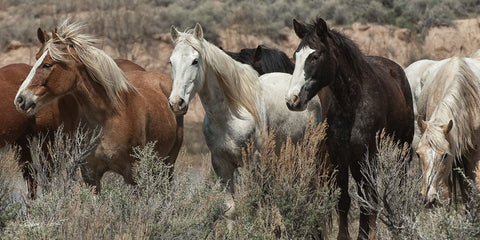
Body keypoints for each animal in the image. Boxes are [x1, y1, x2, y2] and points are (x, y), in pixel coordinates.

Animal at [14, 20, 184, 193]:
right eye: (36, 57)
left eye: (47, 65)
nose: (20, 99)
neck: (109, 116)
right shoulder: (90, 175)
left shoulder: (133, 175)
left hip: (167, 164)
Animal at [169, 24, 322, 197]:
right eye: (171, 62)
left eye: (195, 61)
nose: (176, 103)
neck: (230, 117)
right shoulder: (221, 166)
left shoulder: (252, 165)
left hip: (307, 151)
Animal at [284, 18, 414, 240]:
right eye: (295, 55)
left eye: (315, 56)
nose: (293, 100)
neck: (351, 104)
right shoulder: (340, 156)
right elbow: (344, 200)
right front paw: (347, 235)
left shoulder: (367, 155)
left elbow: (368, 199)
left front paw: (368, 235)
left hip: (400, 149)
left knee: (400, 185)